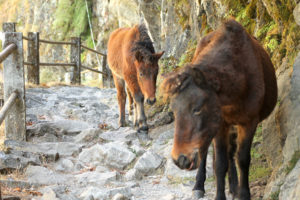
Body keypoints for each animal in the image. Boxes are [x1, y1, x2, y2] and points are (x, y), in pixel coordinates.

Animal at [162, 19, 276, 200]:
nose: (180, 160)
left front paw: (243, 194)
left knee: (230, 153)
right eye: (174, 111)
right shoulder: (220, 125)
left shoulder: (249, 122)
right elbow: (220, 164)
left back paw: (234, 186)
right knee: (206, 154)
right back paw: (198, 186)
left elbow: (242, 159)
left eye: (197, 109)